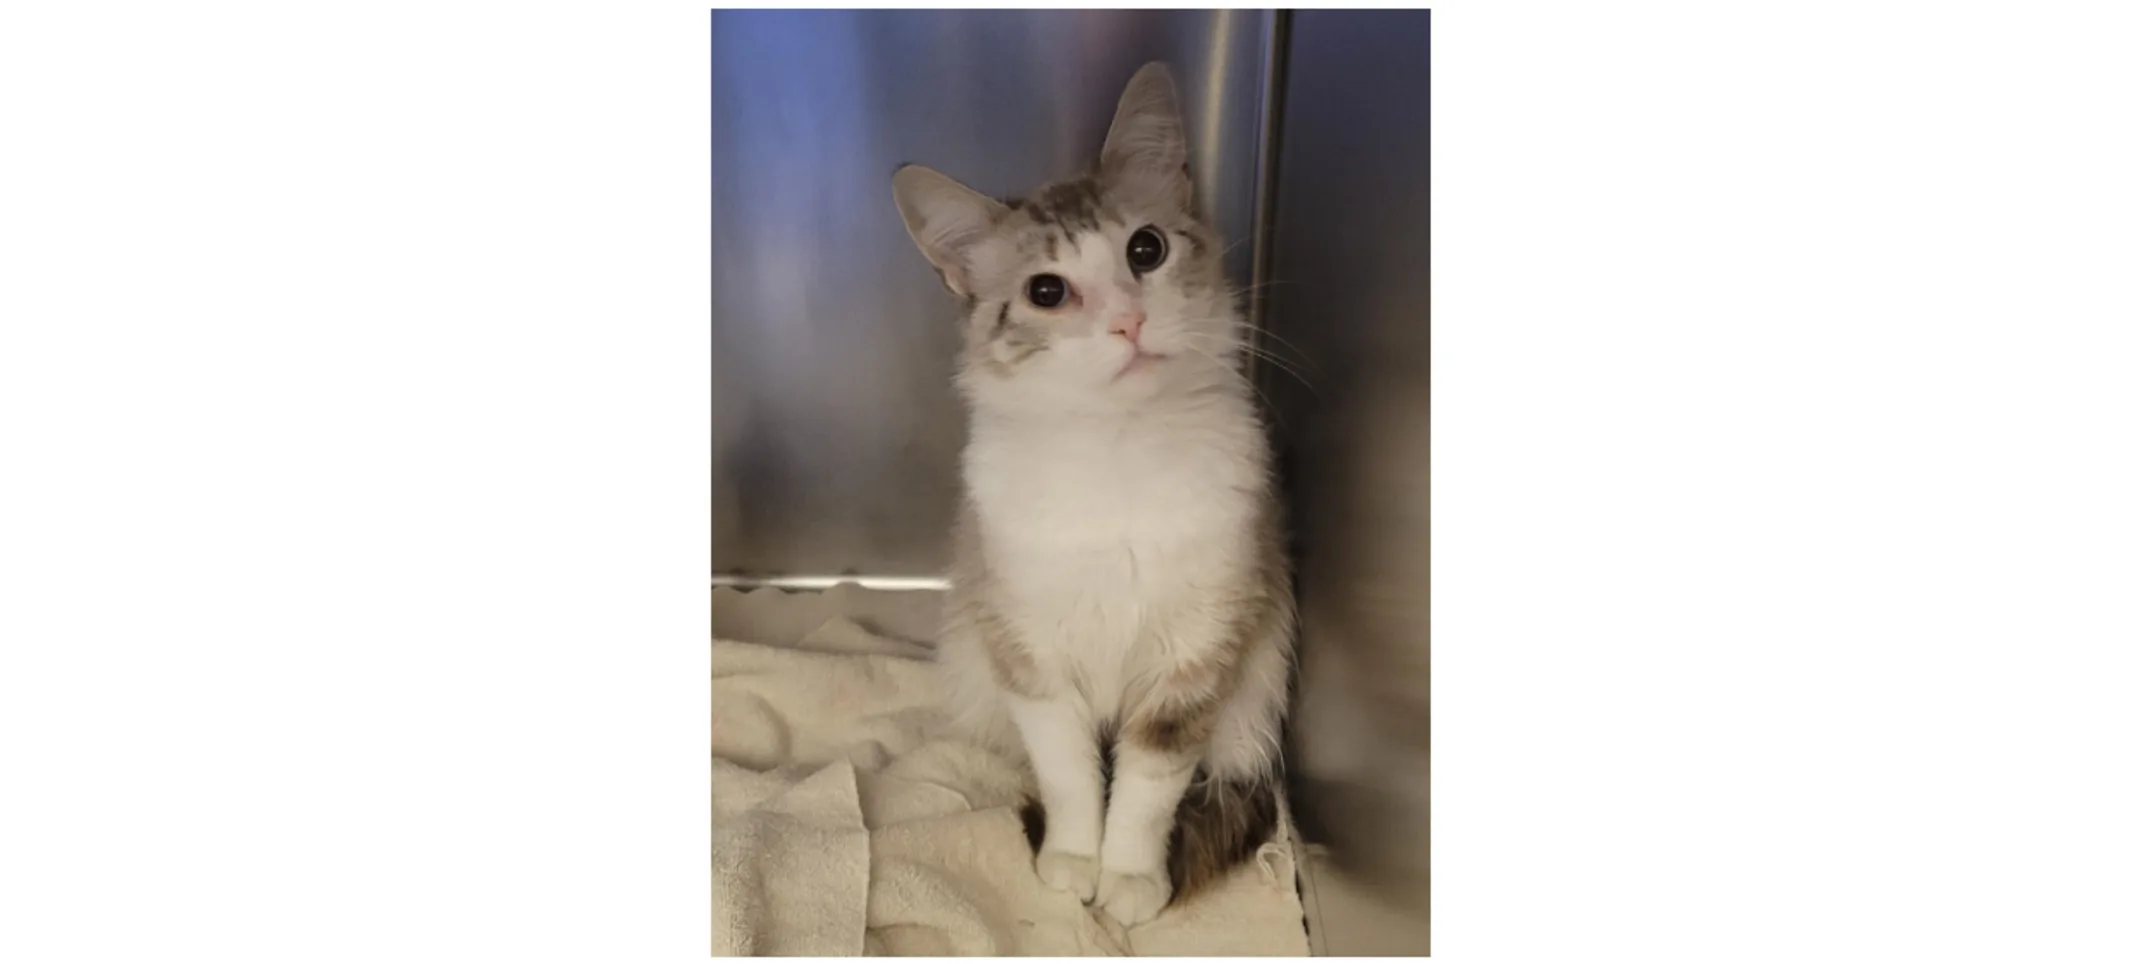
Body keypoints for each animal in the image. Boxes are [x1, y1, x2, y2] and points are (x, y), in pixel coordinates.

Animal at [881, 62, 1292, 925]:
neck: (1118, 449)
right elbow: (1072, 776)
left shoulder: (1194, 658)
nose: (1128, 322)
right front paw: (1072, 862)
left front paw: (1129, 879)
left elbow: (1144, 789)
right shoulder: (1032, 655)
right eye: (1046, 291)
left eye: (1147, 249)